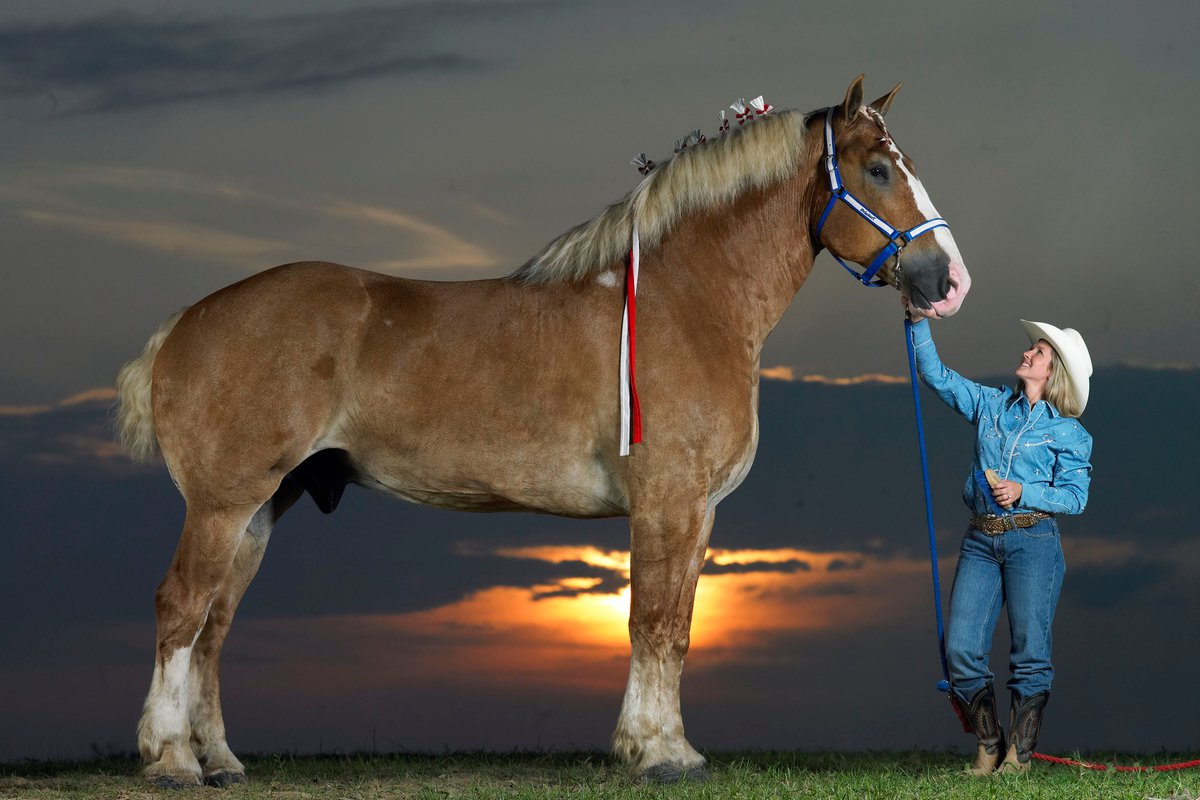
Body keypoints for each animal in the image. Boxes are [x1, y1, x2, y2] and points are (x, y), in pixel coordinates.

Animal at [114, 75, 970, 788]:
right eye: (879, 170)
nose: (949, 281)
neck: (688, 301)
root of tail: (186, 322)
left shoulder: (699, 514)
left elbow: (680, 627)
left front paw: (672, 747)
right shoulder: (667, 502)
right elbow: (652, 621)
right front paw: (654, 753)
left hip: (261, 510)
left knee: (216, 626)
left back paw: (221, 761)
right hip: (223, 504)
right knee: (181, 608)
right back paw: (171, 760)